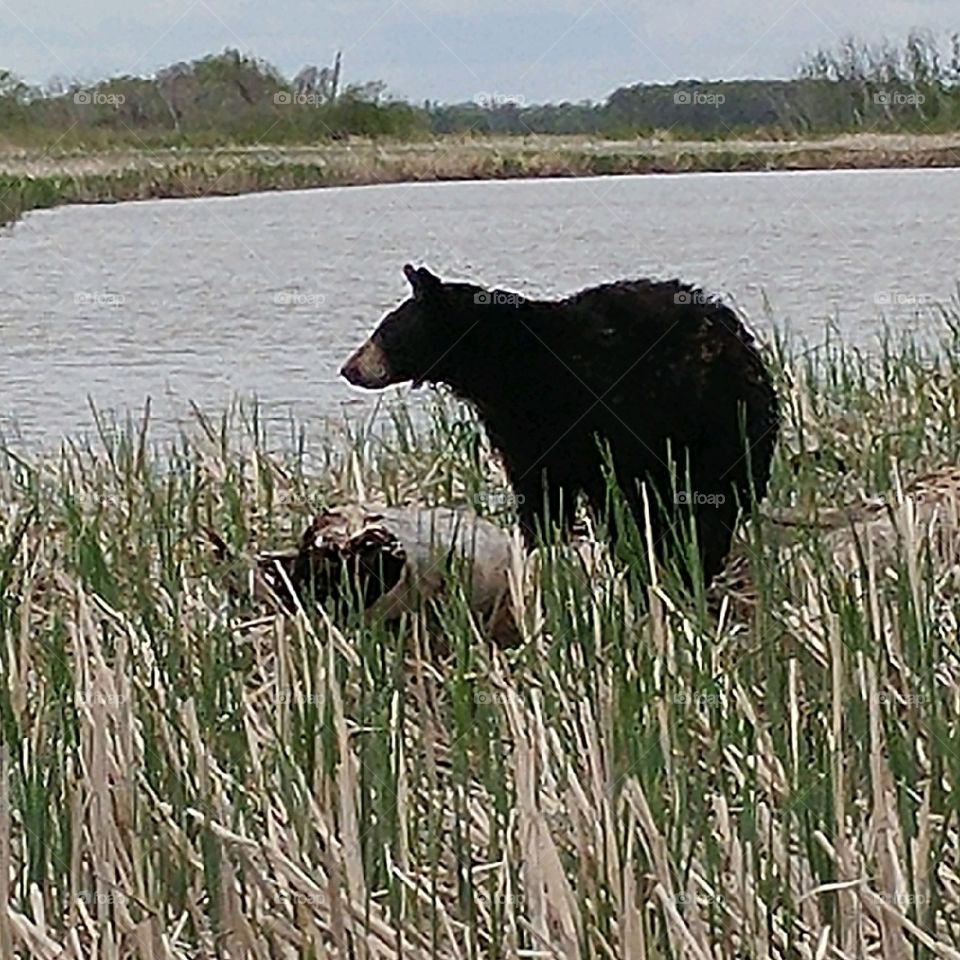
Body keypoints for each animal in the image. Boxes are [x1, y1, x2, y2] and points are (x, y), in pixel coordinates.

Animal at [341, 264, 779, 586]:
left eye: (385, 331)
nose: (349, 368)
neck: (502, 364)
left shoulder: (572, 417)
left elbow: (554, 489)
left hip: (708, 427)